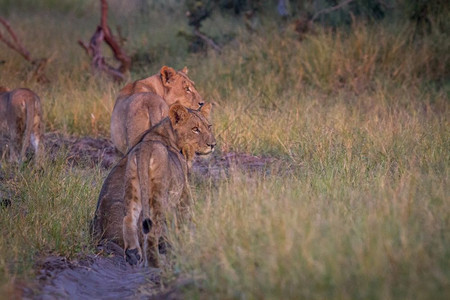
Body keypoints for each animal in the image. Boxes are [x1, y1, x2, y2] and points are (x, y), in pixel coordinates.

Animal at [92, 102, 215, 268]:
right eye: (195, 129)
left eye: (209, 126)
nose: (213, 144)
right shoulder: (183, 192)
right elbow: (184, 219)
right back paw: (157, 261)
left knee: (129, 221)